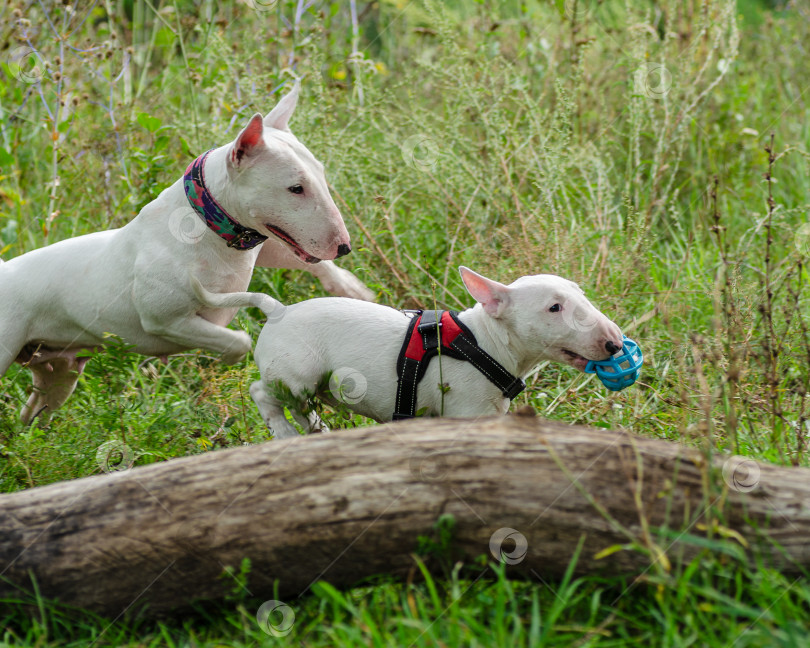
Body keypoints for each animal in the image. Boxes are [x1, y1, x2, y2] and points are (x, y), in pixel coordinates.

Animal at [0, 82, 370, 426]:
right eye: (295, 188)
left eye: (321, 174)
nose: (344, 247)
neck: (208, 223)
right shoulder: (165, 321)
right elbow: (237, 342)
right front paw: (227, 360)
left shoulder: (259, 243)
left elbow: (300, 260)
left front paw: (352, 289)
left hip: (58, 372)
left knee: (34, 412)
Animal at [193, 266, 620, 438]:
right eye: (554, 308)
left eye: (580, 294)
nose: (615, 343)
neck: (484, 343)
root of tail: (278, 310)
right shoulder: (465, 410)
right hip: (296, 372)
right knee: (263, 393)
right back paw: (283, 432)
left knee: (301, 407)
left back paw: (316, 430)